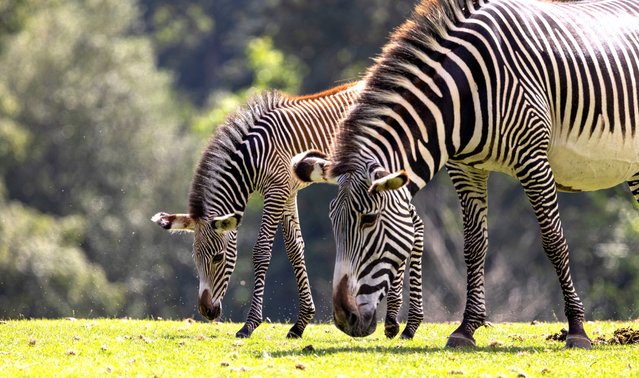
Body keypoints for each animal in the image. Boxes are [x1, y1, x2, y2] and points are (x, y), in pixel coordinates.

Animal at [152, 82, 428, 340]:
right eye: (195, 259)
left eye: (218, 258)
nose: (207, 312)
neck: (254, 158)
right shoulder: (287, 192)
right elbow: (295, 248)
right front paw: (301, 323)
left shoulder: (276, 191)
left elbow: (262, 252)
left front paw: (250, 325)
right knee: (409, 224)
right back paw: (397, 321)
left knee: (413, 225)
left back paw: (405, 323)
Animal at [296, 0, 639, 350]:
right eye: (333, 222)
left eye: (368, 219)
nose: (343, 319)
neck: (466, 90)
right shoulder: (465, 167)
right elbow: (474, 246)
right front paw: (466, 328)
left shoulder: (533, 159)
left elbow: (554, 241)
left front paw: (577, 329)